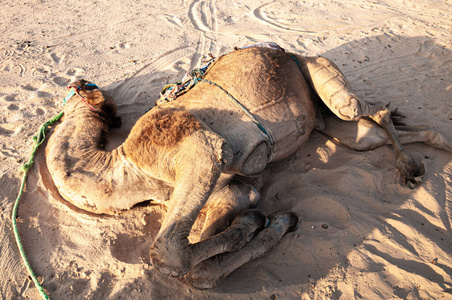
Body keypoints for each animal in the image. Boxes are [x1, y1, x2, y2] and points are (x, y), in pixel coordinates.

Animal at [44, 44, 450, 288]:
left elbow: (173, 255)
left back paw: (412, 165)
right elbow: (205, 263)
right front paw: (268, 222)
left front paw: (268, 222)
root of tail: (286, 51)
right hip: (330, 122)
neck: (127, 169)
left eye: (85, 87)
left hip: (319, 74)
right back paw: (430, 150)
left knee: (373, 109)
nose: (78, 79)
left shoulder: (199, 150)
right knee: (371, 133)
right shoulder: (232, 188)